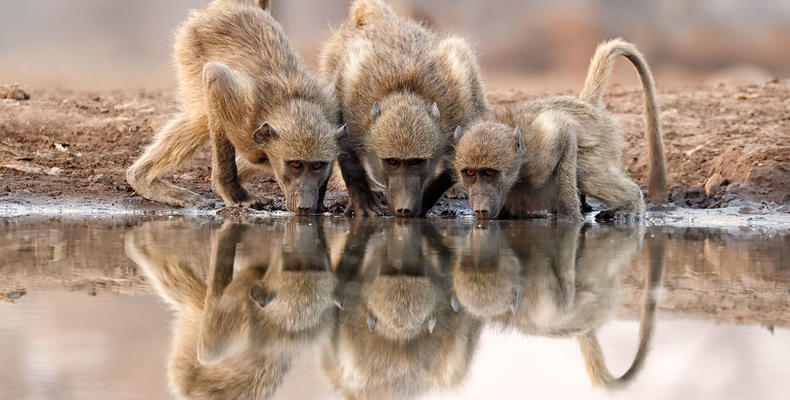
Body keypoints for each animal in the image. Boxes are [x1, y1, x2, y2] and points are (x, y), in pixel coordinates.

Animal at [126, 0, 345, 214]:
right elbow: (215, 76)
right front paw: (233, 194)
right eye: (296, 165)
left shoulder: (332, 114)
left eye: (317, 166)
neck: (292, 103)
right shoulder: (242, 117)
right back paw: (142, 178)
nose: (305, 206)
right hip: (190, 47)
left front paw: (320, 206)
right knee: (201, 116)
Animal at [320, 0, 489, 217]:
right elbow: (347, 152)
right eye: (392, 162)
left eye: (416, 162)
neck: (405, 92)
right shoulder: (352, 102)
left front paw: (424, 202)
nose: (404, 208)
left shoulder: (457, 108)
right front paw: (363, 202)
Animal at [454, 39, 667, 221]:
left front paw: (570, 217)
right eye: (470, 173)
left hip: (601, 142)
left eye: (490, 173)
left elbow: (564, 131)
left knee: (587, 174)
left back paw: (631, 204)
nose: (480, 209)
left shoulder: (541, 155)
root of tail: (587, 104)